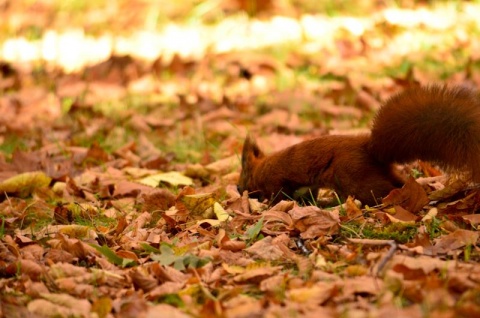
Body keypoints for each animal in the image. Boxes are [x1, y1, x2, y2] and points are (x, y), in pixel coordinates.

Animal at [238, 84, 480, 206]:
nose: (238, 189)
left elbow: (279, 196)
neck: (261, 168)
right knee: (398, 182)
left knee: (379, 191)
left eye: (243, 175)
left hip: (352, 175)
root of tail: (370, 149)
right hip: (374, 172)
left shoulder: (275, 181)